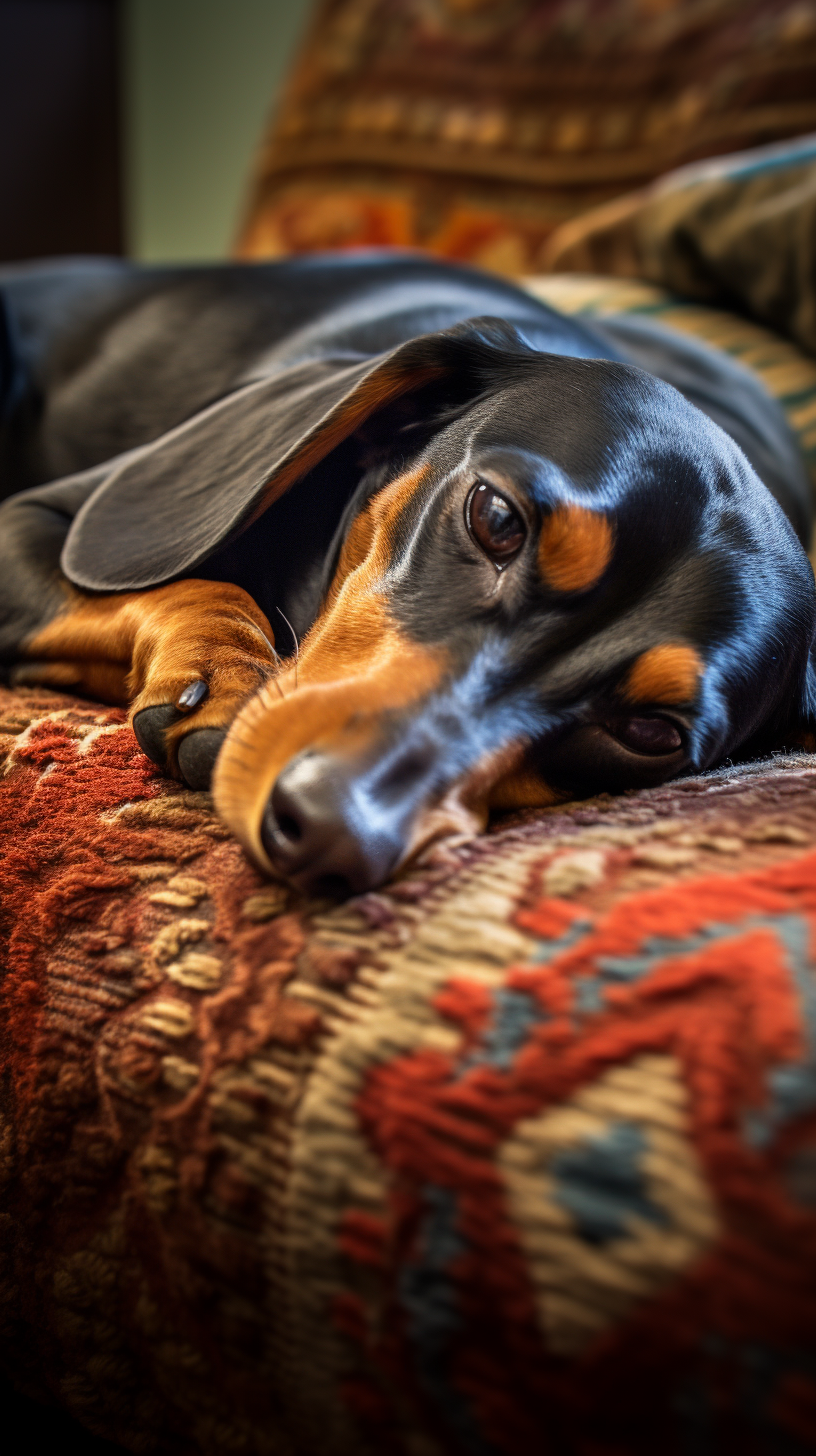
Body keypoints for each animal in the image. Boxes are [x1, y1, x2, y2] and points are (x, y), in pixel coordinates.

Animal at [1, 256, 816, 891]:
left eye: (651, 734)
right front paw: (224, 675)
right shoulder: (34, 517)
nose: (328, 834)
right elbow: (201, 586)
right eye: (497, 518)